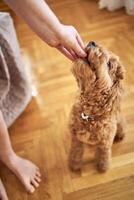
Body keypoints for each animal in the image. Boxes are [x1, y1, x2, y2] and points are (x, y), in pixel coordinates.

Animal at [68, 41, 125, 173]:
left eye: (109, 64)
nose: (92, 42)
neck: (88, 115)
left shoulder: (105, 143)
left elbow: (104, 154)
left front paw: (103, 167)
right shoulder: (75, 138)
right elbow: (76, 152)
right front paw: (74, 165)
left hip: (119, 122)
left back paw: (120, 136)